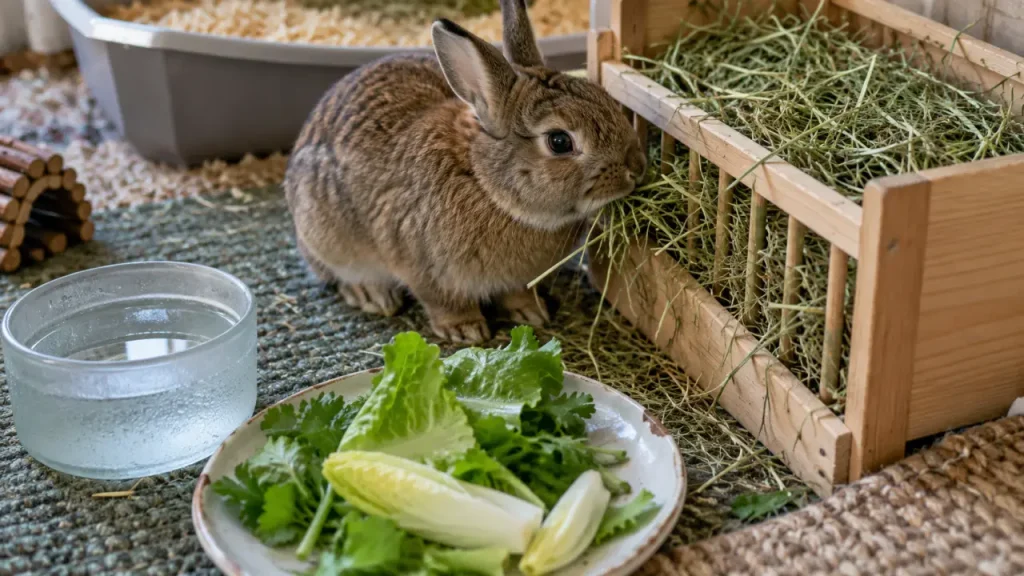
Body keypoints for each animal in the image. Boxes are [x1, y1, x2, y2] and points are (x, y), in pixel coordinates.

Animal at [284, 0, 646, 344]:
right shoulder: (423, 268)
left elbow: (517, 293)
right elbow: (443, 302)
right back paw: (371, 295)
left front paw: (532, 313)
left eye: (604, 97)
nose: (636, 168)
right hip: (326, 237)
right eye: (559, 141)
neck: (485, 182)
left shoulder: (515, 278)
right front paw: (465, 329)